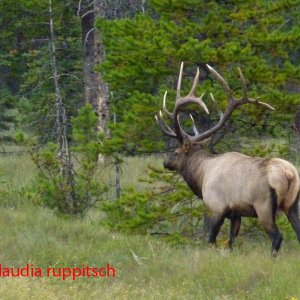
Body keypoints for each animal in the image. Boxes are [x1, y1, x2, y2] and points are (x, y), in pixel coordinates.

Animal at [155, 62, 300, 256]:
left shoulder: (217, 207)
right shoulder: (236, 213)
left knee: (277, 237)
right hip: (292, 204)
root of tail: (289, 174)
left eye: (176, 152)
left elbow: (211, 239)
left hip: (264, 205)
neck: (201, 176)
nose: (166, 162)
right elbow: (231, 241)